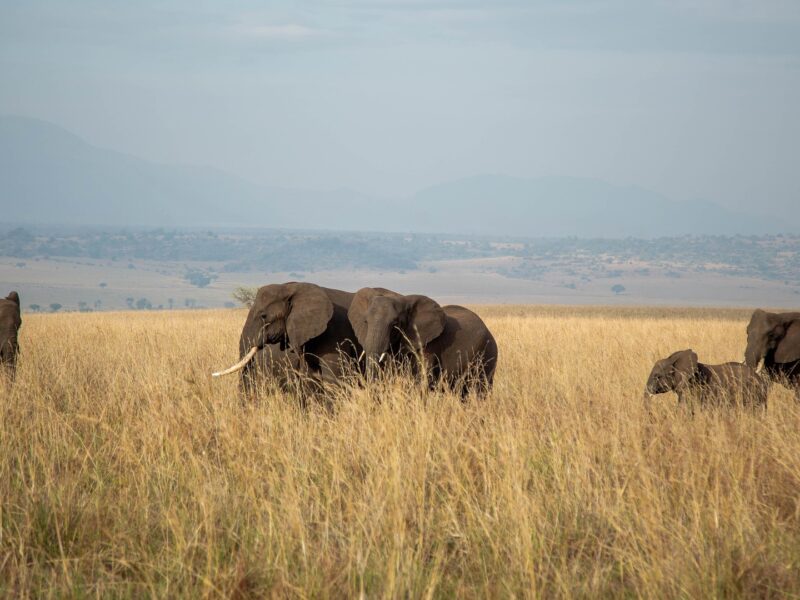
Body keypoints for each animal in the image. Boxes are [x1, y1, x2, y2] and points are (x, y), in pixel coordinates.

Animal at [347, 287, 498, 396]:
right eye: (365, 322)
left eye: (395, 324)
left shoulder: (428, 346)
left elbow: (423, 380)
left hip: (487, 354)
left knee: (479, 390)